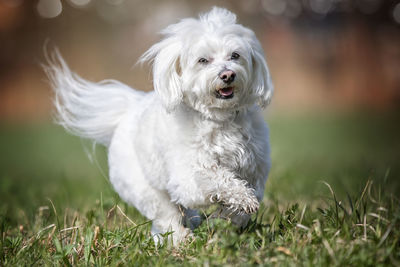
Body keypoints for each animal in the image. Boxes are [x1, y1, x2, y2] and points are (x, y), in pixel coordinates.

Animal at [45, 6, 274, 245]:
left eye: (235, 55)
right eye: (203, 60)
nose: (228, 74)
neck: (219, 119)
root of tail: (128, 109)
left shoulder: (256, 171)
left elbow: (245, 202)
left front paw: (227, 217)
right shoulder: (188, 177)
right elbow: (217, 179)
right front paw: (238, 200)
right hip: (146, 190)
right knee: (166, 217)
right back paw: (181, 239)